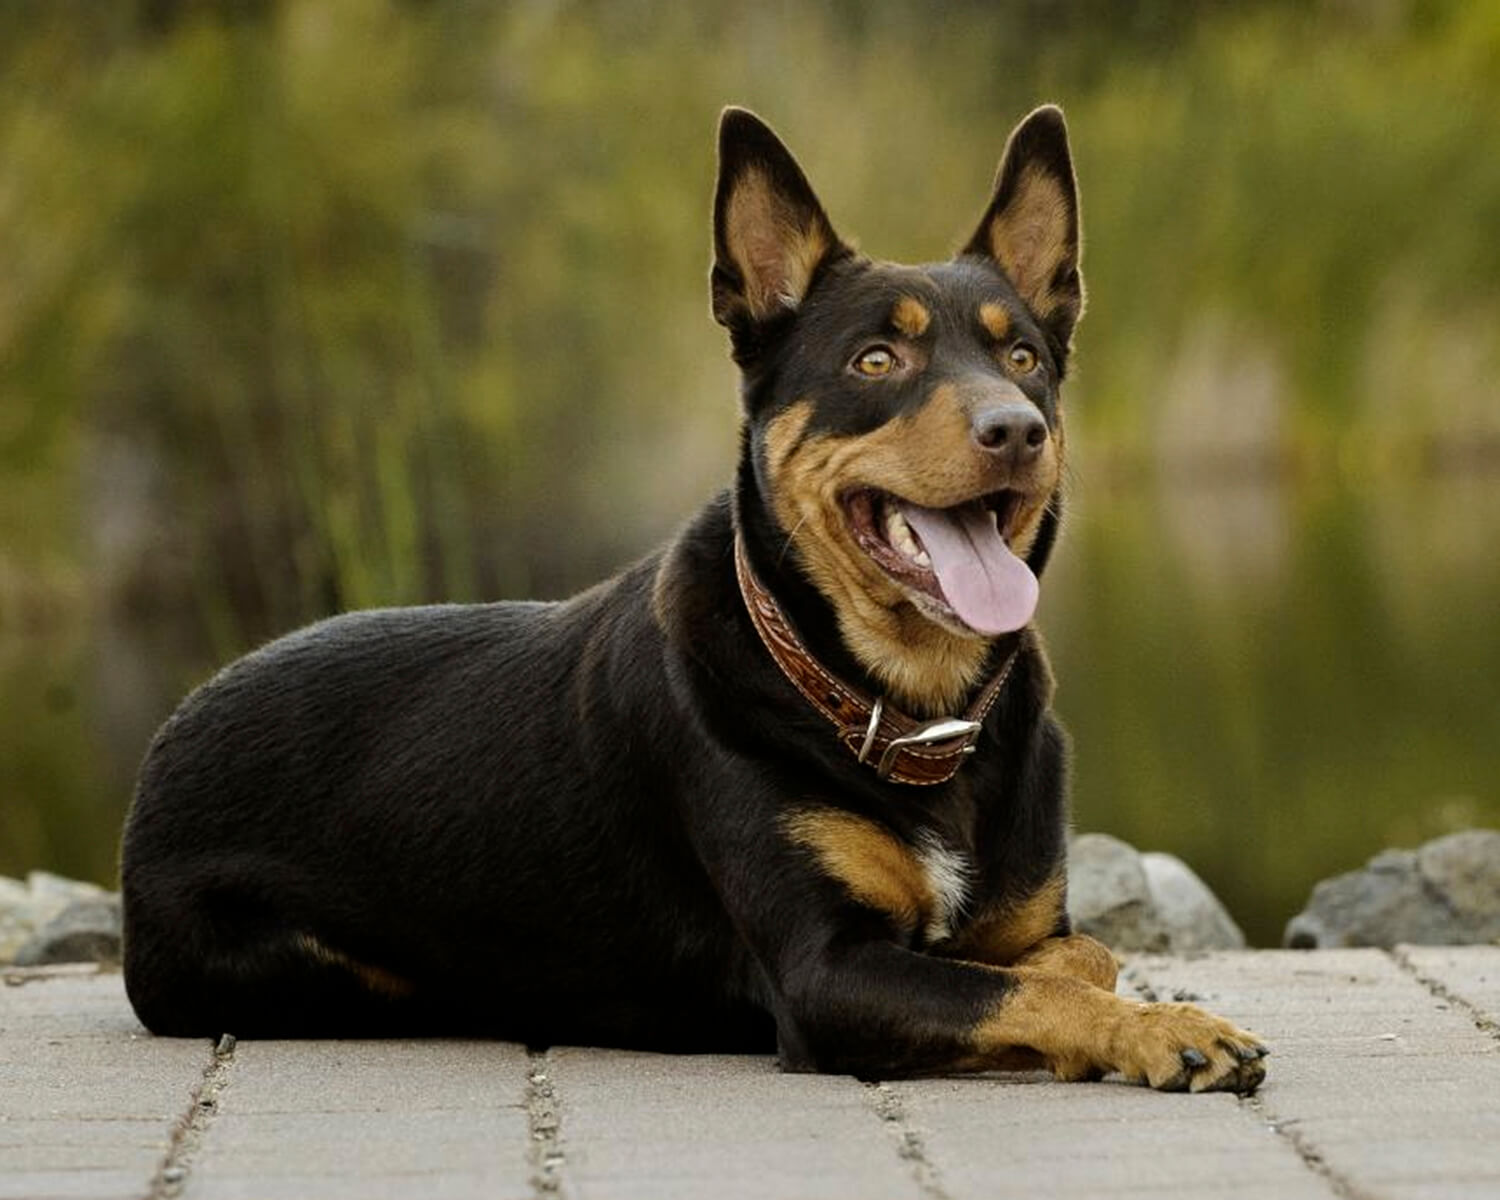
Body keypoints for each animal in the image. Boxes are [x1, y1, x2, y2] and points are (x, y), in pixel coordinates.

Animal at [120, 108, 1266, 1092]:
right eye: (876, 358)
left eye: (1022, 355)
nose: (1015, 429)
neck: (904, 713)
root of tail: (165, 740)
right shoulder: (824, 973)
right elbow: (1024, 990)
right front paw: (1167, 1031)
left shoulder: (1022, 926)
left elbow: (1074, 958)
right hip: (309, 970)